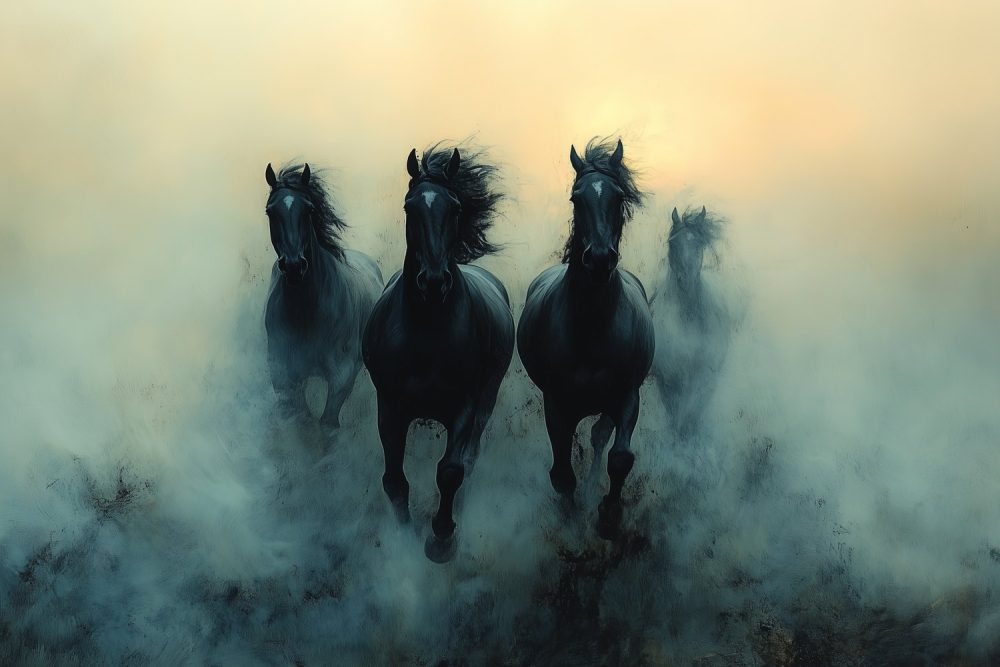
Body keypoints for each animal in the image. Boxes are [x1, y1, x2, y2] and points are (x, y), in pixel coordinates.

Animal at [263, 162, 383, 436]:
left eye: (309, 209)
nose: (294, 266)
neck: (306, 312)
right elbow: (301, 419)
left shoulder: (341, 377)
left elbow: (327, 425)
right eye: (270, 212)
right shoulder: (284, 375)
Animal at [362, 144, 515, 563]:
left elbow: (450, 471)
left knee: (470, 460)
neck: (426, 334)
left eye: (455, 207)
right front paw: (404, 541)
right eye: (409, 207)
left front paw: (441, 540)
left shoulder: (464, 406)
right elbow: (394, 480)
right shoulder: (390, 406)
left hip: (486, 400)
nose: (432, 281)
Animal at [517, 138, 655, 539]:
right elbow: (562, 473)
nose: (599, 259)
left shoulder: (627, 396)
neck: (591, 330)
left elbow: (619, 458)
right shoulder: (556, 403)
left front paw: (608, 515)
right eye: (576, 199)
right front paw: (571, 519)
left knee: (599, 438)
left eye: (619, 197)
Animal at [649, 206, 729, 438]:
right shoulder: (669, 377)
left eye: (699, 243)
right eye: (672, 243)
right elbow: (676, 417)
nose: (686, 281)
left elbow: (691, 415)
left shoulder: (704, 375)